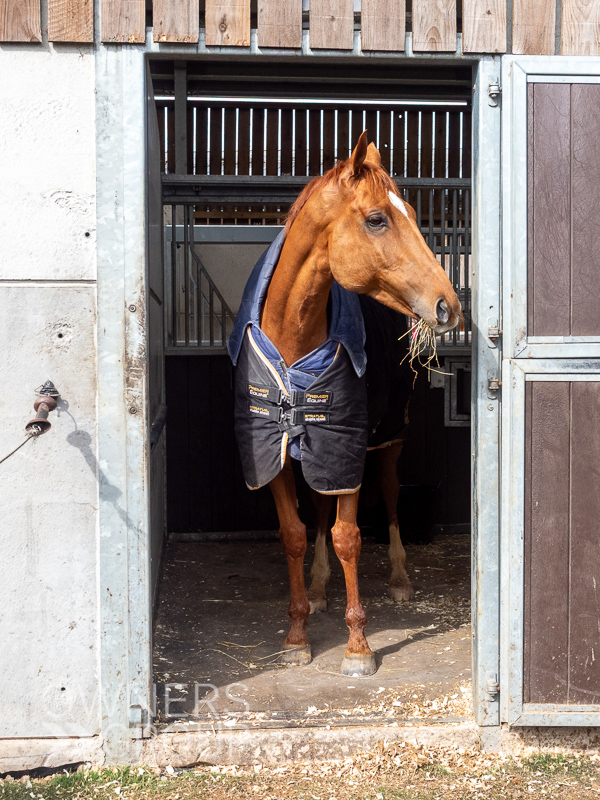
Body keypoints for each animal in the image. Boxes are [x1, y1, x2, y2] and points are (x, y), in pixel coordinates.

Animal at [228, 132, 460, 676]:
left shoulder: (347, 449)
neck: (293, 341)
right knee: (318, 511)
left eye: (412, 212)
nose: (449, 305)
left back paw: (399, 580)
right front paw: (297, 636)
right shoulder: (273, 454)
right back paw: (317, 587)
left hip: (389, 439)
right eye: (377, 218)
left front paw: (358, 647)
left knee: (392, 498)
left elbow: (348, 536)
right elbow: (295, 533)